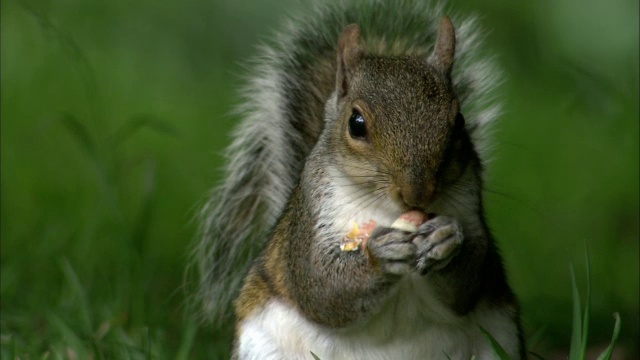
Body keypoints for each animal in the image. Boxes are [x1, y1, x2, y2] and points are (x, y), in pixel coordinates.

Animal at [192, 1, 528, 358]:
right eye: (356, 123)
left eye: (459, 120)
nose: (417, 193)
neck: (387, 210)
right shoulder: (311, 217)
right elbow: (321, 286)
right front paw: (380, 255)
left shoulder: (469, 201)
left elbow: (471, 280)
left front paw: (446, 240)